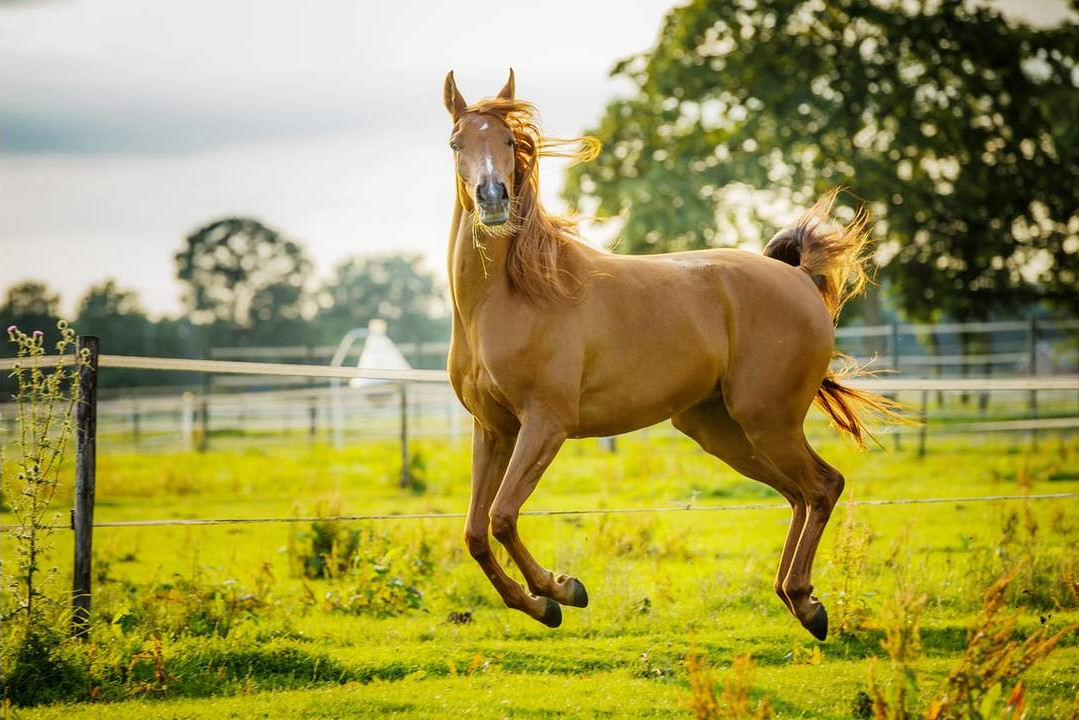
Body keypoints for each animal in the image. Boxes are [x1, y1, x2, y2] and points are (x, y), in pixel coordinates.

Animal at [438, 70, 902, 639]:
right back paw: (798, 600)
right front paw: (541, 606)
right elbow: (475, 532)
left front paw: (562, 591)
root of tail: (796, 277)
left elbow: (502, 516)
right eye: (456, 142)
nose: (492, 197)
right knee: (800, 493)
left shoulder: (545, 423)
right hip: (721, 430)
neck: (511, 297)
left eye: (508, 141)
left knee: (822, 486)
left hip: (767, 420)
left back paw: (805, 603)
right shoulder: (494, 429)